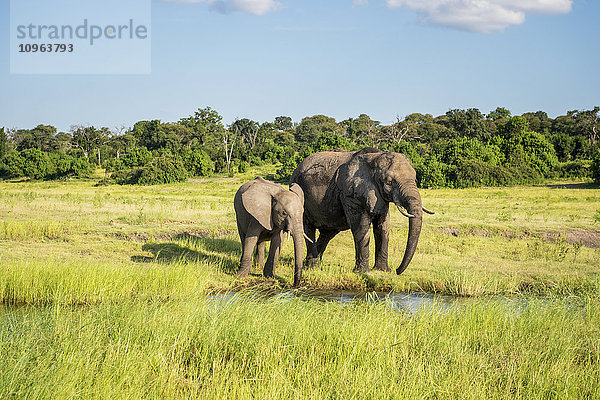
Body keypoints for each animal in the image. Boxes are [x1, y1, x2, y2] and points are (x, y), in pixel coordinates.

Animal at [290, 148, 434, 276]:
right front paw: (362, 272)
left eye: (415, 179)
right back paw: (311, 265)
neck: (375, 158)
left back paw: (315, 264)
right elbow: (360, 227)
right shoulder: (350, 194)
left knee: (328, 232)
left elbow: (382, 228)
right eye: (389, 182)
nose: (397, 271)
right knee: (308, 228)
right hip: (300, 197)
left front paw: (382, 271)